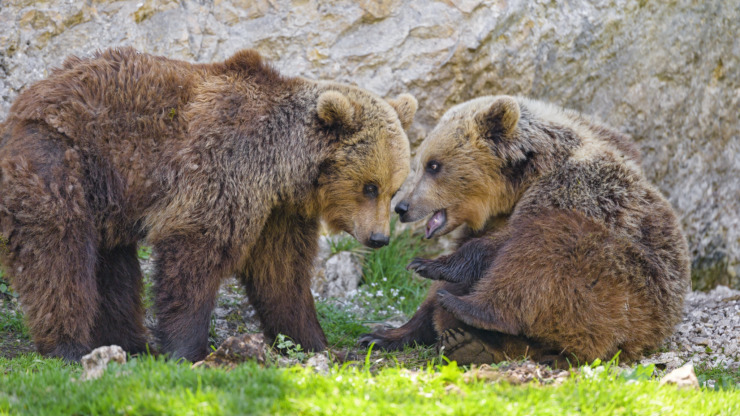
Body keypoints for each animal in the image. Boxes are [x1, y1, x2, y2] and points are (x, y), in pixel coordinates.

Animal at [0, 47, 416, 362]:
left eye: (393, 190)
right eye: (369, 186)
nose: (379, 238)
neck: (282, 166)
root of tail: (22, 103)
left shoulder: (278, 211)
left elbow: (281, 274)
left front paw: (316, 343)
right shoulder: (222, 168)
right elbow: (197, 254)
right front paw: (188, 349)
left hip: (109, 195)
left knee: (112, 266)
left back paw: (130, 343)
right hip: (61, 158)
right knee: (59, 252)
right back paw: (68, 346)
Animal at [362, 95, 692, 368]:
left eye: (434, 165)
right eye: (421, 164)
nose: (402, 207)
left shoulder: (574, 190)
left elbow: (504, 247)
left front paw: (427, 264)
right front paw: (386, 333)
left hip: (628, 292)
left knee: (544, 255)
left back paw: (467, 310)